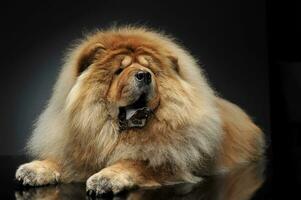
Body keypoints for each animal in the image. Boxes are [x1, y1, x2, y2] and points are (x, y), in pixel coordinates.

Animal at [15, 25, 264, 196]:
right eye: (119, 70)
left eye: (149, 67)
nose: (144, 74)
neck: (114, 133)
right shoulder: (80, 148)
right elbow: (60, 160)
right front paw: (34, 169)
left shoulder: (167, 162)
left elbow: (133, 162)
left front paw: (104, 178)